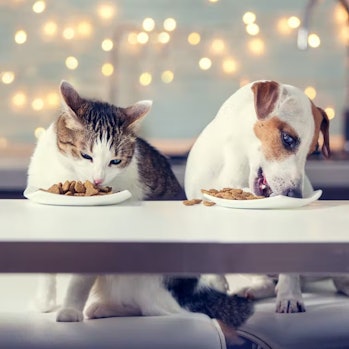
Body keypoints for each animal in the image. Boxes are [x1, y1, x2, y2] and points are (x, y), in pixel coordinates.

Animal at [25, 81, 251, 328]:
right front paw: (44, 302)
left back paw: (102, 309)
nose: (98, 181)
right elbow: (46, 273)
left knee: (153, 309)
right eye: (86, 156)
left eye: (115, 161)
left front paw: (70, 311)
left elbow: (79, 282)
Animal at [182, 79, 338, 312]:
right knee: (265, 282)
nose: (295, 195)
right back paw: (249, 290)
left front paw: (290, 297)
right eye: (288, 139)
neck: (238, 162)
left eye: (313, 151)